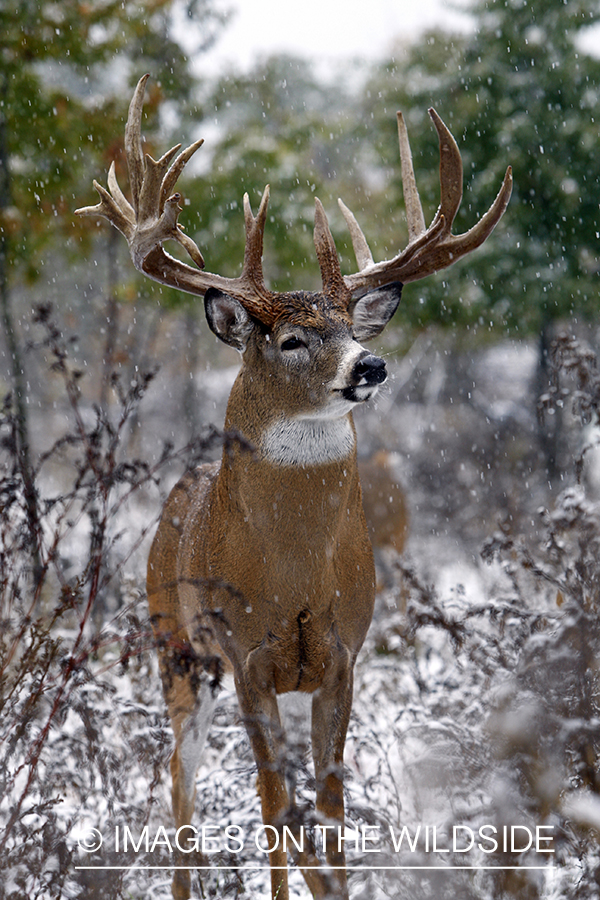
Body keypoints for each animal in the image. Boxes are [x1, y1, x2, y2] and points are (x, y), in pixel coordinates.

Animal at [76, 74, 510, 896]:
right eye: (291, 338)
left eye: (354, 327)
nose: (370, 366)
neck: (296, 569)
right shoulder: (246, 654)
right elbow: (278, 807)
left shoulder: (344, 653)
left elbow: (331, 810)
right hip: (177, 646)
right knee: (184, 785)